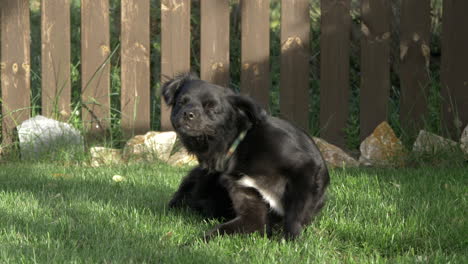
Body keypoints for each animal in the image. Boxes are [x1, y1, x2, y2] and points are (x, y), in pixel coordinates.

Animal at [164, 72, 330, 239]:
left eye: (211, 107)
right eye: (181, 102)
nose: (187, 114)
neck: (241, 145)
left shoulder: (304, 166)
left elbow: (295, 214)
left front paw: (291, 239)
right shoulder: (251, 207)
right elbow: (218, 231)